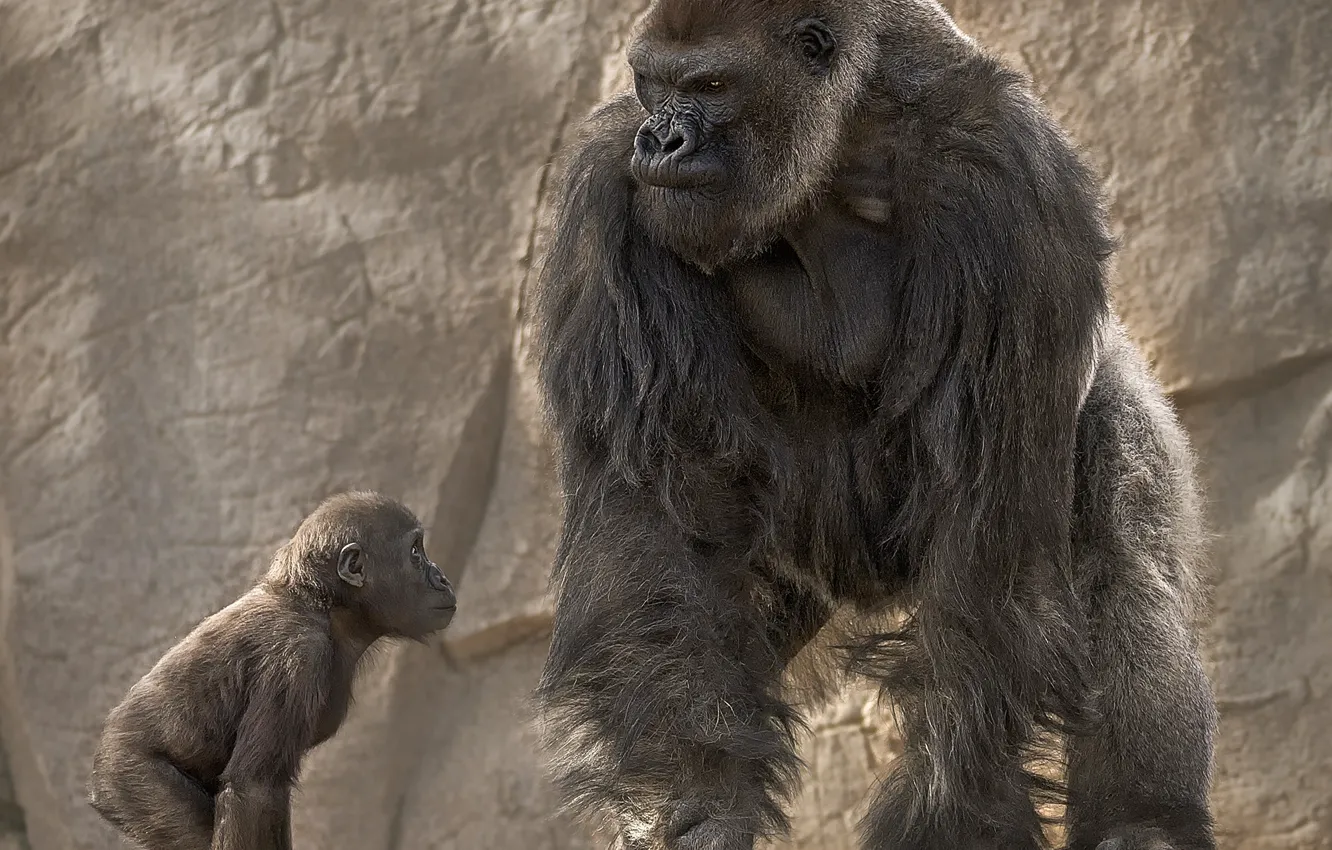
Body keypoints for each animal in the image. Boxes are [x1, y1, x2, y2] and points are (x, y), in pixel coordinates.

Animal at [87, 491, 457, 850]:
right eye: (415, 552)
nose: (441, 577)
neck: (322, 604)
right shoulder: (298, 656)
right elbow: (254, 790)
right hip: (128, 778)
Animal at [529, 2, 1218, 850]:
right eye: (652, 83)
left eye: (711, 86)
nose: (661, 139)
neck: (844, 138)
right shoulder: (610, 181)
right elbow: (655, 521)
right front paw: (701, 799)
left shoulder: (1008, 178)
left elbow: (984, 575)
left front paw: (946, 817)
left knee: (1116, 544)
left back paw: (1145, 819)